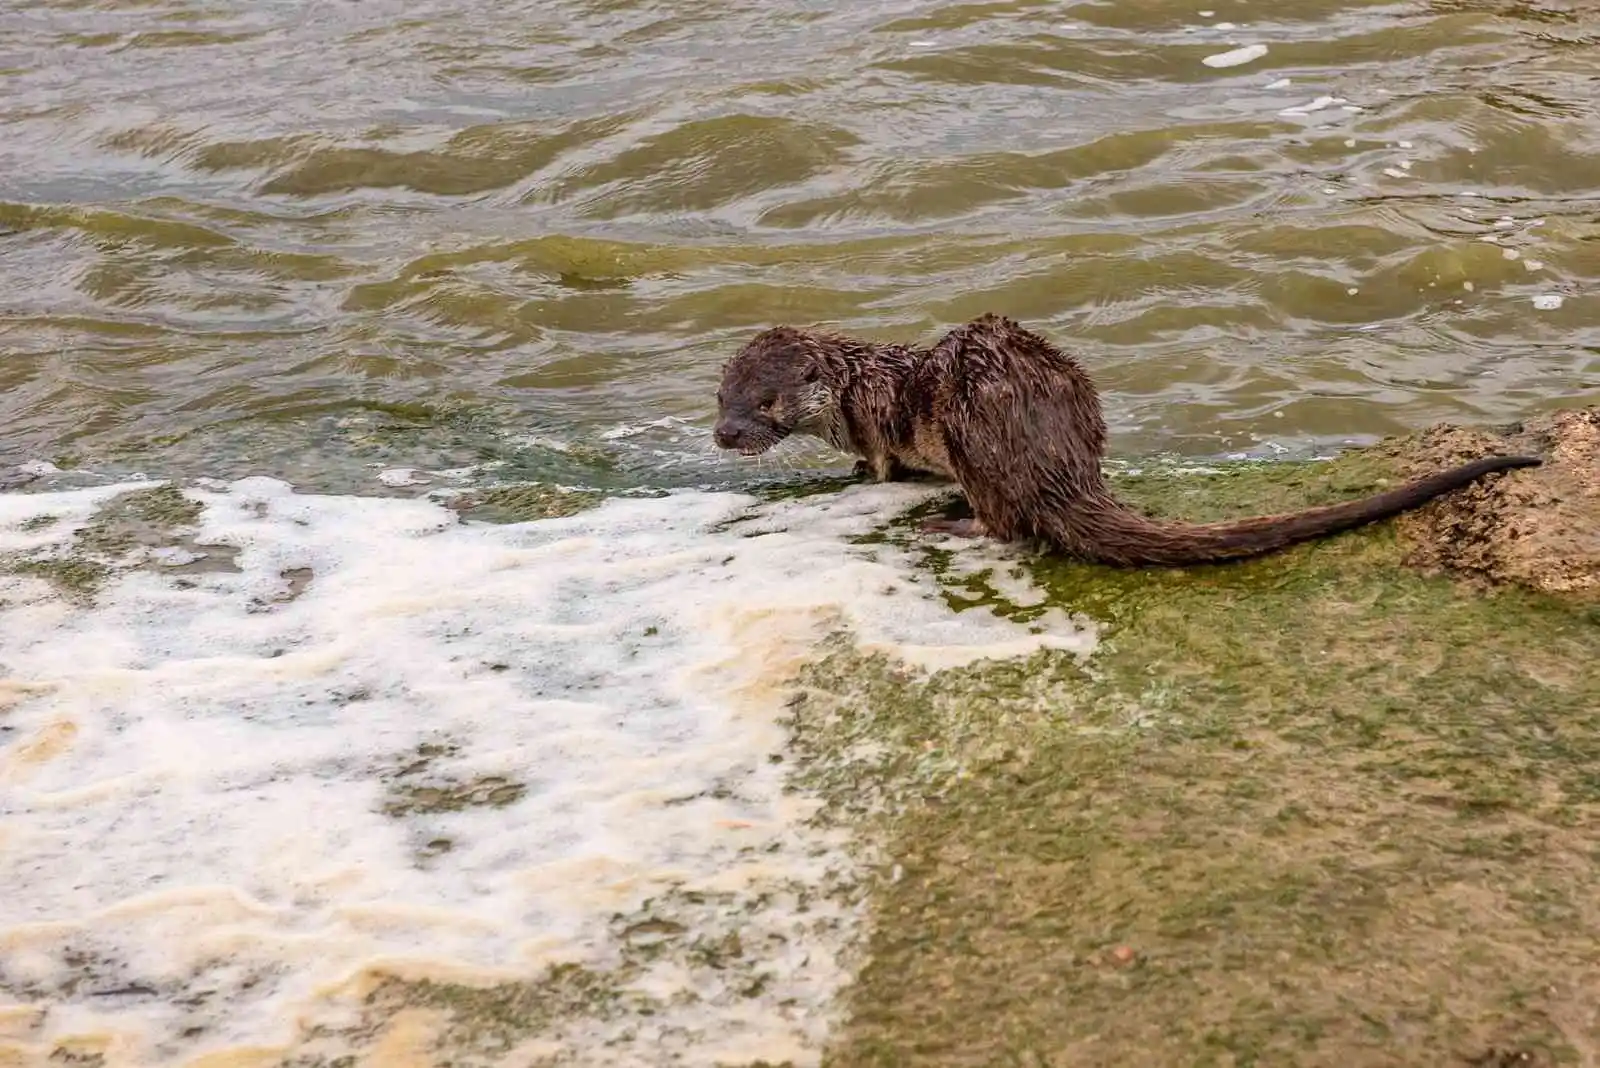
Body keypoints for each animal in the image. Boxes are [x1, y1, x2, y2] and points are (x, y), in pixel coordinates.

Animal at [710, 313, 1536, 572]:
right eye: (719, 396)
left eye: (765, 401)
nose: (724, 435)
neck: (855, 387)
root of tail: (1064, 462)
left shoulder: (879, 427)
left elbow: (877, 468)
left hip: (970, 431)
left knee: (1010, 526)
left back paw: (950, 525)